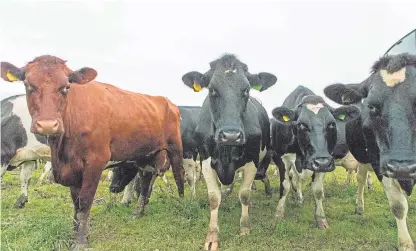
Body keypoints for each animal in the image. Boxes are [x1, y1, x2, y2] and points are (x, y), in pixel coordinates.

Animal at [0, 55, 185, 249]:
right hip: (147, 153)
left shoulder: (95, 162)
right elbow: (76, 203)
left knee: (179, 174)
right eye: (27, 84)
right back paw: (138, 211)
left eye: (66, 86)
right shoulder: (72, 168)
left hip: (175, 147)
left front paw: (81, 240)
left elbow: (85, 202)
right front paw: (76, 233)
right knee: (146, 179)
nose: (48, 124)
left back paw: (182, 204)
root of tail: (167, 101)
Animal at [181, 54, 276, 250]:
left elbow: (245, 194)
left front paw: (245, 227)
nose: (231, 135)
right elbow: (213, 198)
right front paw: (212, 236)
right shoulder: (205, 160)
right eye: (212, 90)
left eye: (246, 90)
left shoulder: (252, 160)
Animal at [270, 85, 358, 228]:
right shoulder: (281, 158)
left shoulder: (326, 161)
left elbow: (317, 190)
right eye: (301, 124)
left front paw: (321, 219)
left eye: (332, 124)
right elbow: (286, 186)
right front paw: (279, 215)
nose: (322, 162)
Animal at [324, 52, 416, 249]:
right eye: (371, 106)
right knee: (360, 178)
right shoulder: (380, 163)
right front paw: (405, 244)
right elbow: (398, 206)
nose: (402, 167)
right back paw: (359, 206)